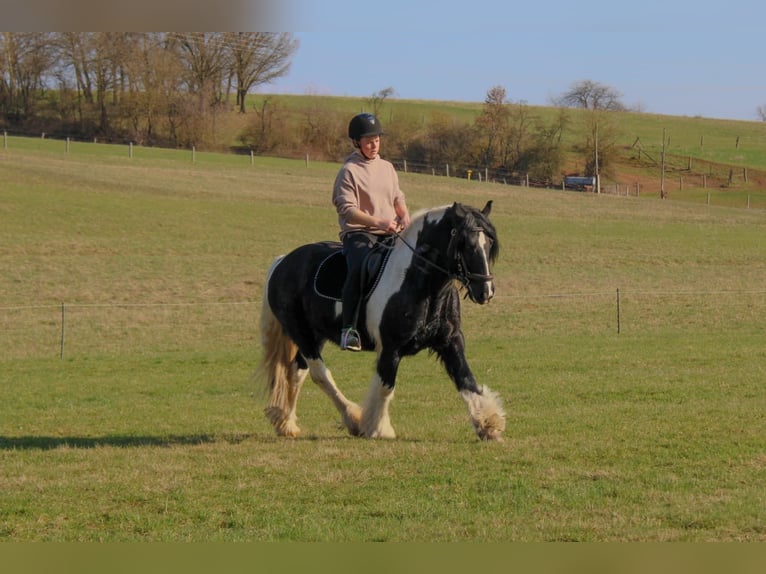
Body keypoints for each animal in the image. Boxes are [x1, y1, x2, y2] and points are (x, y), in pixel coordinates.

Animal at [256, 200, 506, 441]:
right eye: (466, 244)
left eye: (489, 244)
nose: (486, 291)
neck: (419, 284)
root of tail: (283, 262)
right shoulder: (390, 347)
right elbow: (385, 386)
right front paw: (378, 428)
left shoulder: (450, 341)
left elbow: (466, 379)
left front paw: (488, 424)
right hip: (301, 333)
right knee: (319, 373)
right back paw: (351, 419)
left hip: (317, 335)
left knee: (298, 371)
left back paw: (286, 423)